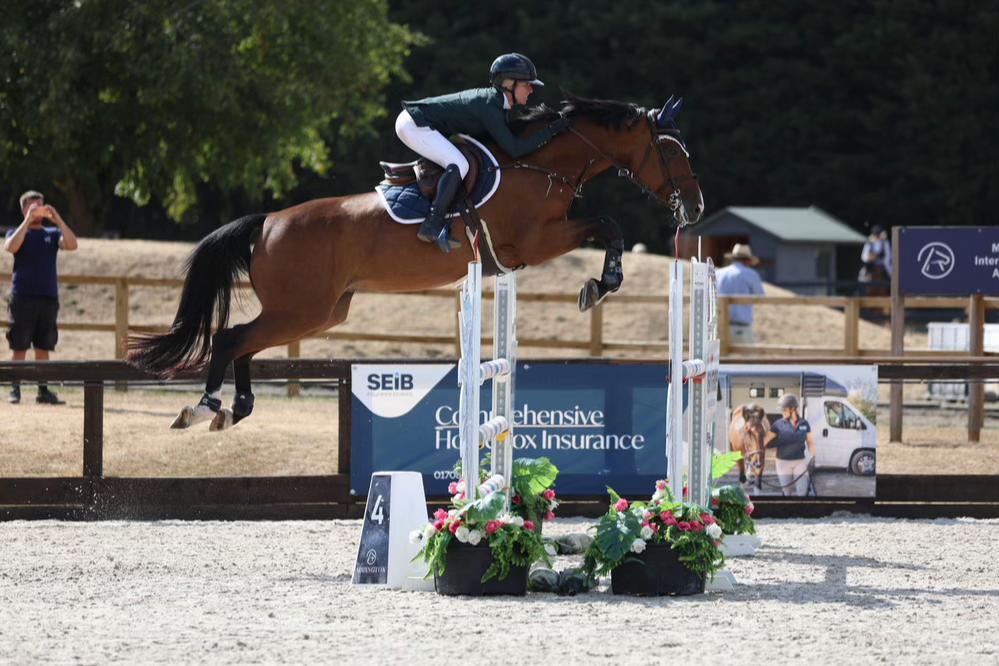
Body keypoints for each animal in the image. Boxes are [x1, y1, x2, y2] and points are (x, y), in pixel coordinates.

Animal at [127, 93, 703, 430]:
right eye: (674, 152)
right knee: (231, 339)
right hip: (301, 308)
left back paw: (237, 408)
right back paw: (203, 407)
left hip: (321, 312)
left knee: (245, 341)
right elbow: (609, 225)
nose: (695, 208)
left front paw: (599, 283)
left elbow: (608, 225)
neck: (540, 165)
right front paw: (600, 284)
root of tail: (268, 221)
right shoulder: (535, 242)